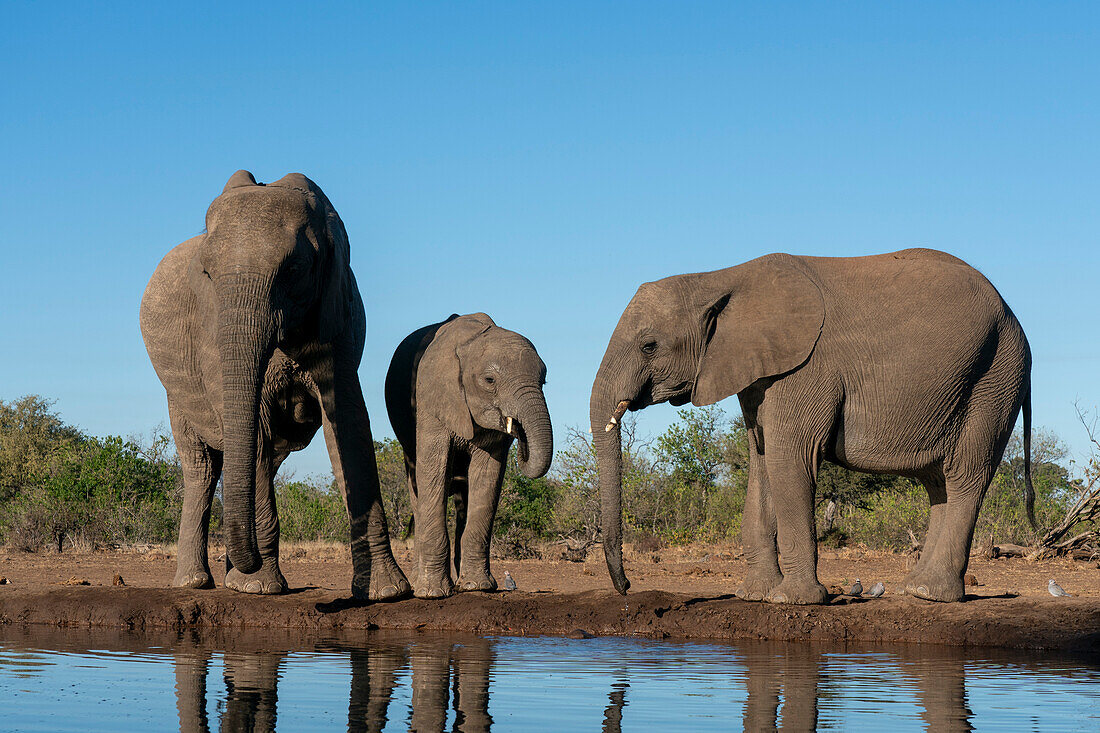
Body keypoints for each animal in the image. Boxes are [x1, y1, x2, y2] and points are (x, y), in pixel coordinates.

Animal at [387, 310, 554, 598]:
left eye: (543, 381)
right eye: (489, 380)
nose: (520, 437)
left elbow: (487, 477)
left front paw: (478, 587)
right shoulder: (431, 400)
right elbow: (434, 470)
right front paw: (433, 593)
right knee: (417, 488)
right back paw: (421, 584)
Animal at [594, 248, 1029, 603]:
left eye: (649, 345)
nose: (627, 588)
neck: (720, 277)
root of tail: (1013, 314)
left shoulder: (805, 368)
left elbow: (789, 459)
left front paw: (792, 601)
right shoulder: (758, 370)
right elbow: (761, 462)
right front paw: (755, 595)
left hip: (995, 378)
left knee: (966, 475)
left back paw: (930, 593)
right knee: (937, 482)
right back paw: (914, 588)